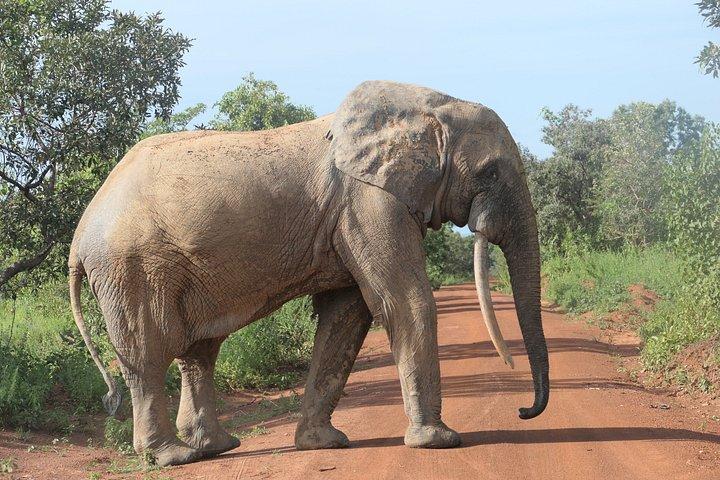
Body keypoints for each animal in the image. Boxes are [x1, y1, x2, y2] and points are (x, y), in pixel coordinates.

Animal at [68, 80, 549, 466]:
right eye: (490, 172)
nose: (523, 411)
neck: (430, 105)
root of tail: (81, 231)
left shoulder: (355, 209)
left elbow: (346, 318)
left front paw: (324, 444)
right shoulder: (368, 200)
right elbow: (405, 301)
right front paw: (439, 442)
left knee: (198, 351)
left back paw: (219, 447)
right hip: (131, 267)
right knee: (149, 352)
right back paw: (173, 457)